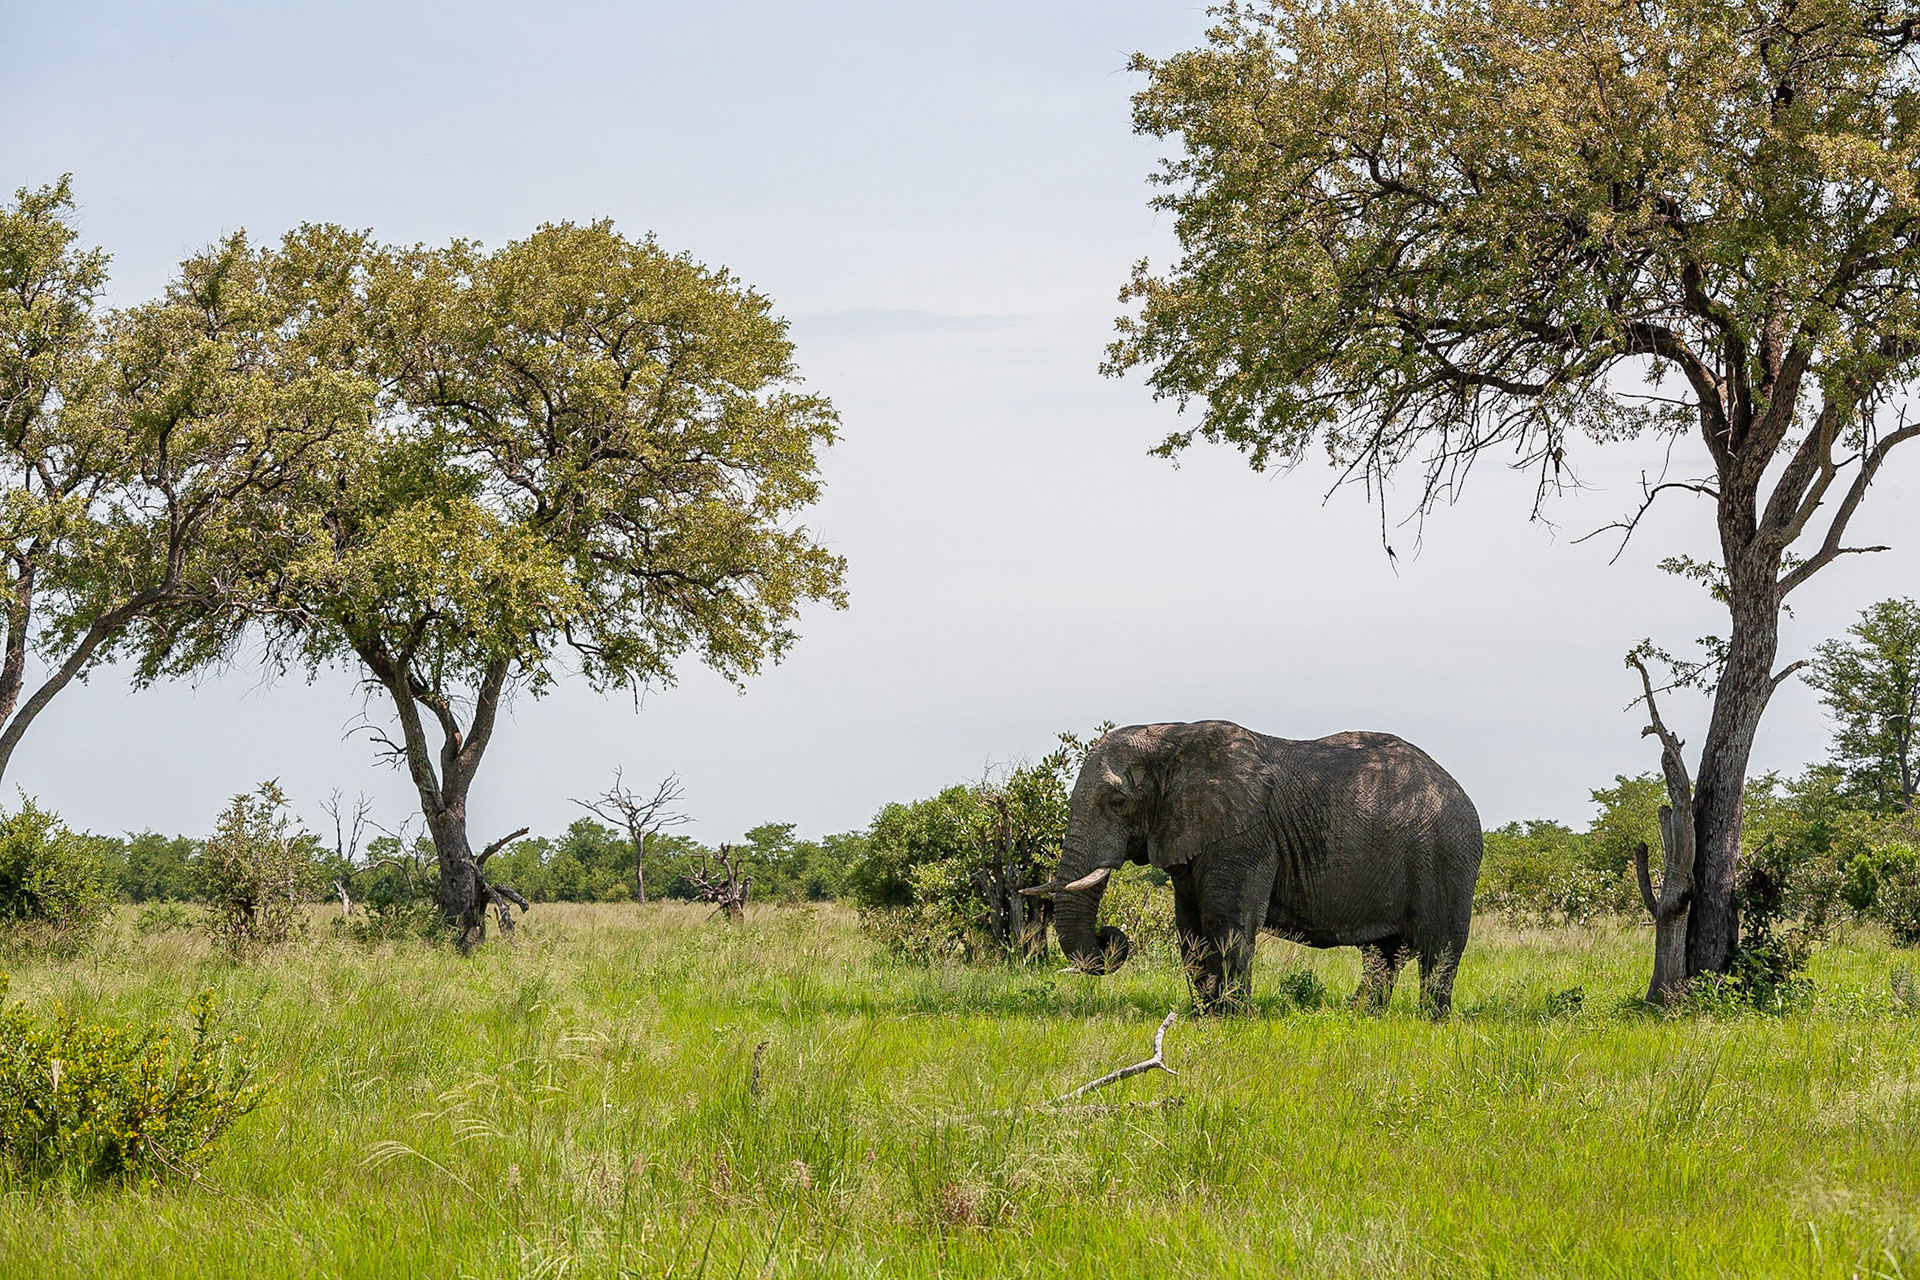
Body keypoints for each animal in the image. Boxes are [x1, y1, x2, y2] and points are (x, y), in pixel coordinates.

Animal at [1029, 725, 1474, 1013]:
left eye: (1118, 802)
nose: (1108, 937)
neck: (1169, 738)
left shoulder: (1246, 833)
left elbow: (1227, 920)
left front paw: (1230, 1018)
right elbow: (1190, 926)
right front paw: (1204, 1016)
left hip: (1446, 856)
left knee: (1440, 949)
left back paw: (1431, 1020)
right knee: (1382, 954)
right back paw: (1364, 1016)